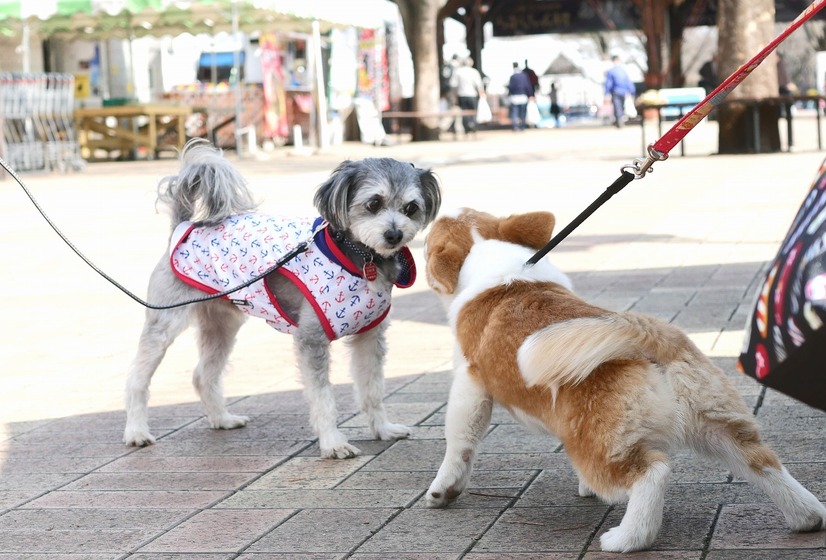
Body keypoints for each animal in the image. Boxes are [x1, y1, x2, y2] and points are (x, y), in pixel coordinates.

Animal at [123, 139, 440, 456]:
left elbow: (372, 390)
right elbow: (323, 398)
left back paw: (222, 419)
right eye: (374, 203)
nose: (394, 234)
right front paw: (334, 443)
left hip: (222, 326)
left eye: (411, 208)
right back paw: (137, 432)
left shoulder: (369, 336)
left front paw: (383, 430)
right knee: (137, 380)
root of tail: (184, 226)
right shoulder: (311, 338)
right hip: (166, 321)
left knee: (203, 375)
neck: (359, 256)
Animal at [422, 209, 820, 552]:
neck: (497, 264)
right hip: (716, 426)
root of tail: (650, 337)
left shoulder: (470, 387)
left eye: (427, 242)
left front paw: (443, 490)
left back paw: (629, 538)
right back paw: (808, 516)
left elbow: (459, 442)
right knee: (762, 462)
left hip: (602, 448)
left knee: (652, 473)